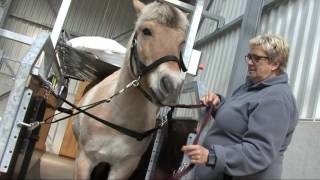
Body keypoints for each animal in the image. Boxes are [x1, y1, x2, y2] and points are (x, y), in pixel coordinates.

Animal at [71, 0, 189, 179]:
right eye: (146, 31)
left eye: (182, 42)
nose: (172, 85)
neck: (117, 116)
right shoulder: (84, 160)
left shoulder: (124, 167)